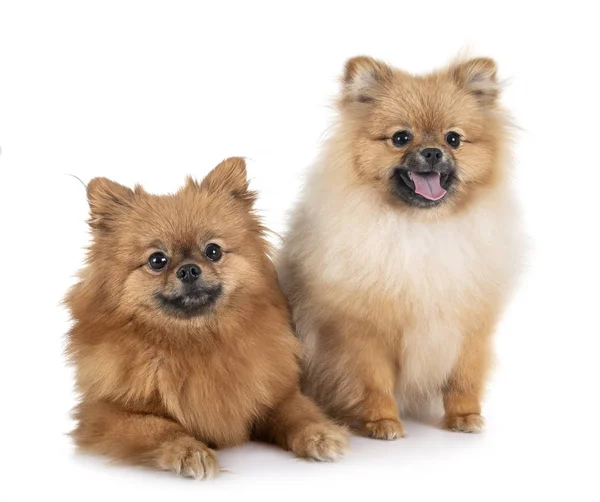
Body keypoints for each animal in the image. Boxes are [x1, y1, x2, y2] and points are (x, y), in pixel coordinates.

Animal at [65, 158, 346, 478]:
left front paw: (321, 434)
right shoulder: (105, 412)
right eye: (157, 260)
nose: (189, 269)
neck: (195, 340)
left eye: (213, 251)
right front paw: (190, 451)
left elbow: (297, 413)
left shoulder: (273, 394)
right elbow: (159, 427)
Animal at [278, 56, 524, 438]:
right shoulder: (364, 331)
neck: (422, 227)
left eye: (454, 139)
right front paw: (383, 422)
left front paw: (465, 416)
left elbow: (463, 378)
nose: (433, 152)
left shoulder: (469, 324)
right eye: (400, 138)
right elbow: (373, 381)